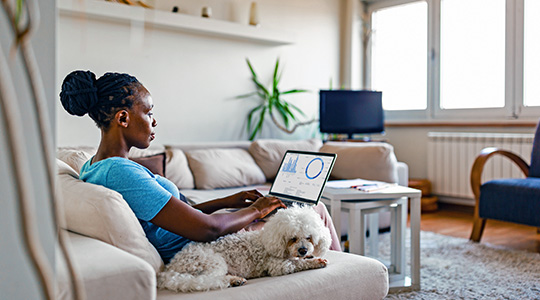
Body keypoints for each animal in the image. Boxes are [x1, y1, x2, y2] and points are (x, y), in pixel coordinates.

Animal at [157, 205, 334, 292]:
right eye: (293, 238)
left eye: (309, 237)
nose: (303, 250)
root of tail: (171, 268)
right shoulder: (278, 266)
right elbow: (298, 263)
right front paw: (316, 261)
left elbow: (299, 259)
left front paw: (310, 256)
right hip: (212, 262)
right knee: (207, 280)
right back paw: (234, 280)